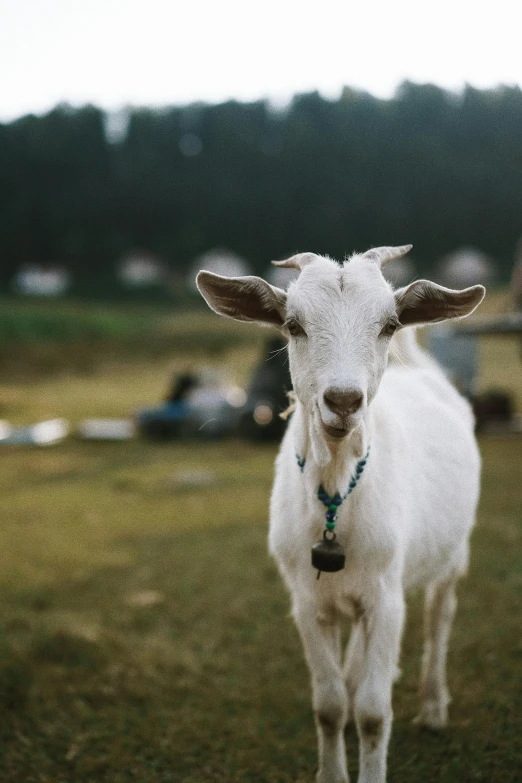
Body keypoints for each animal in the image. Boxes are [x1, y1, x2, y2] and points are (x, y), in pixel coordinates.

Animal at [196, 247, 484, 783]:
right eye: (293, 325)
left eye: (388, 325)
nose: (344, 400)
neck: (335, 495)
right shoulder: (307, 601)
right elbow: (329, 706)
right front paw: (332, 770)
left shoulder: (388, 598)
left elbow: (372, 712)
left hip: (453, 554)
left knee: (441, 615)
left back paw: (434, 706)